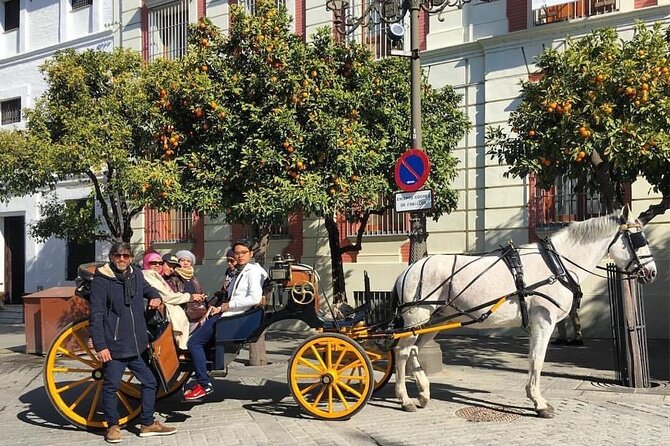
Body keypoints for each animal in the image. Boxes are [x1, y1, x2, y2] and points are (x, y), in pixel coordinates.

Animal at [394, 209, 660, 418]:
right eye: (638, 239)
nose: (652, 272)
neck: (556, 263)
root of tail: (408, 270)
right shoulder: (543, 322)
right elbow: (537, 360)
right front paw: (539, 403)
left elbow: (534, 359)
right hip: (417, 318)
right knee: (402, 352)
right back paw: (405, 399)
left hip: (434, 321)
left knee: (415, 350)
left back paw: (423, 392)